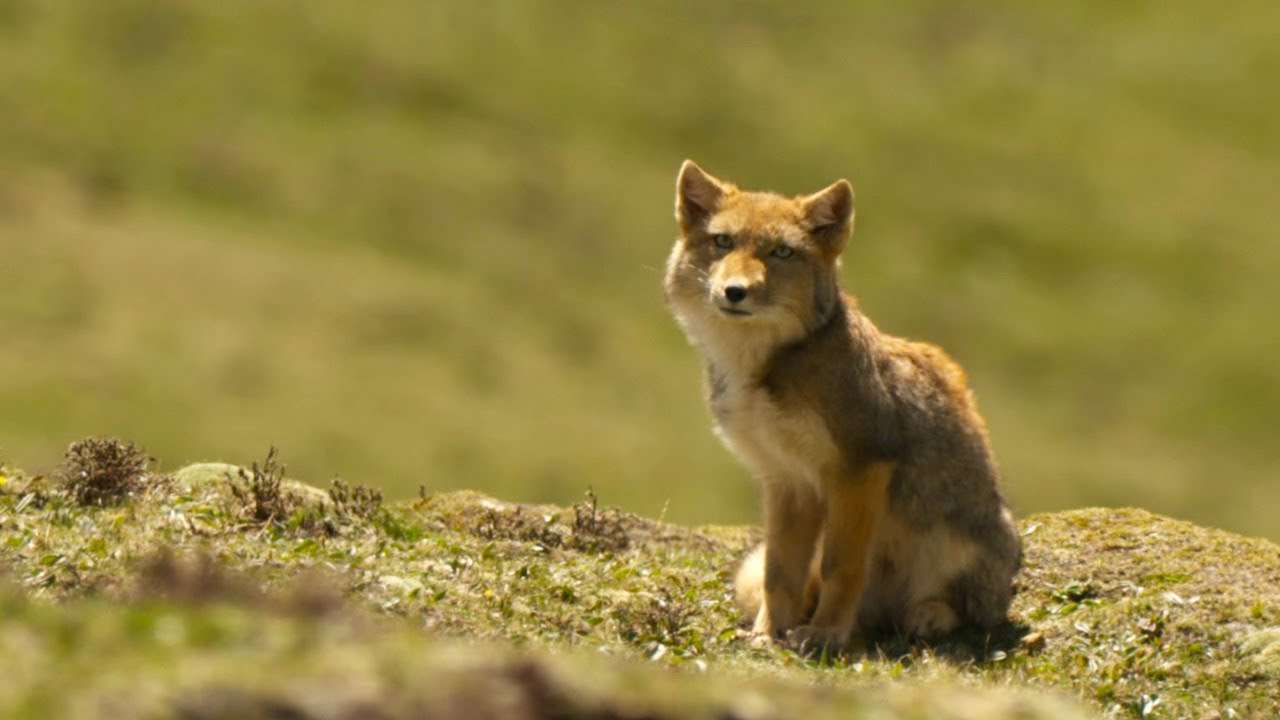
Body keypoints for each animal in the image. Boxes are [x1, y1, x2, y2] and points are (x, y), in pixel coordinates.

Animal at [664, 160, 1021, 652]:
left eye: (781, 252)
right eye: (723, 242)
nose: (735, 291)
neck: (761, 369)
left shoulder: (859, 469)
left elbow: (843, 566)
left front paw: (826, 633)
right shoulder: (787, 481)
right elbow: (781, 573)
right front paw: (768, 633)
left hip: (960, 549)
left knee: (966, 611)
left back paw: (925, 615)